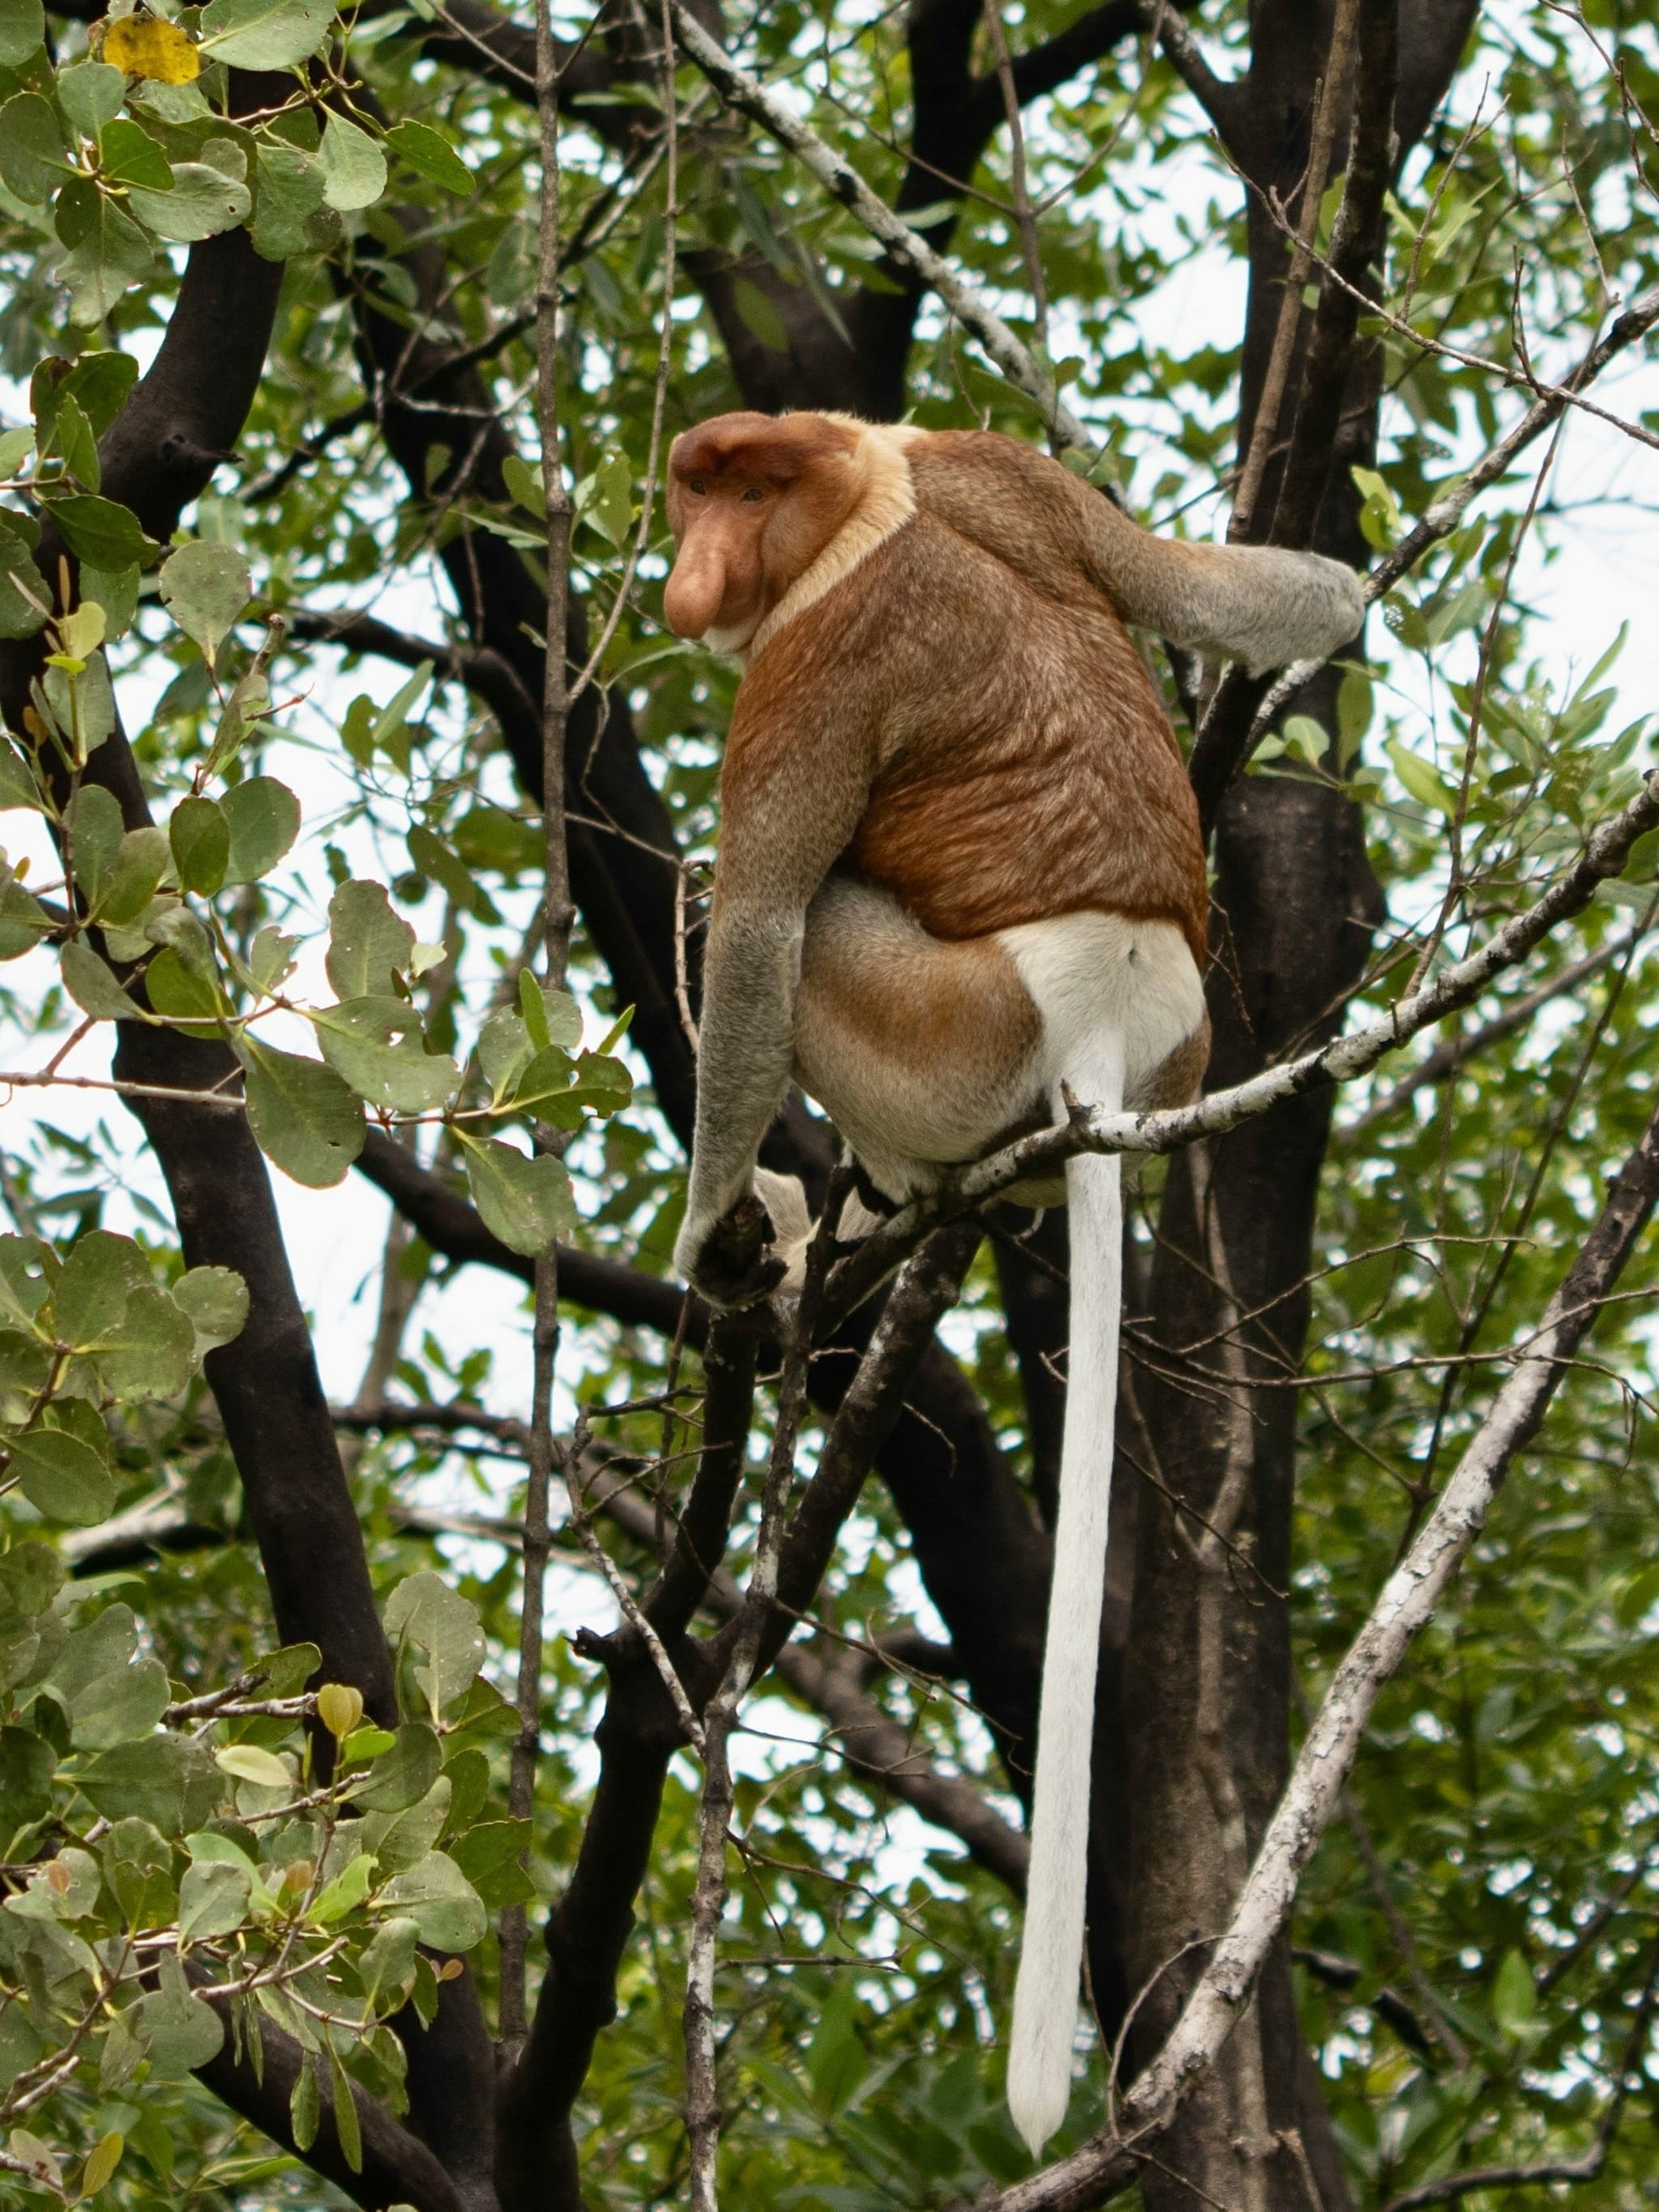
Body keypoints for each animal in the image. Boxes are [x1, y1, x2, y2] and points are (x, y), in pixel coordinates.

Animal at [661, 410, 1364, 2154]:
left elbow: (756, 926)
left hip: (938, 1026)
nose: (694, 565)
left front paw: (704, 1237)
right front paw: (1322, 599)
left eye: (745, 492)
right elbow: (1226, 589)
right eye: (699, 486)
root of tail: (1104, 1033)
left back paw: (833, 1209)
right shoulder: (992, 456)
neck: (866, 488)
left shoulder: (811, 663)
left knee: (808, 922)